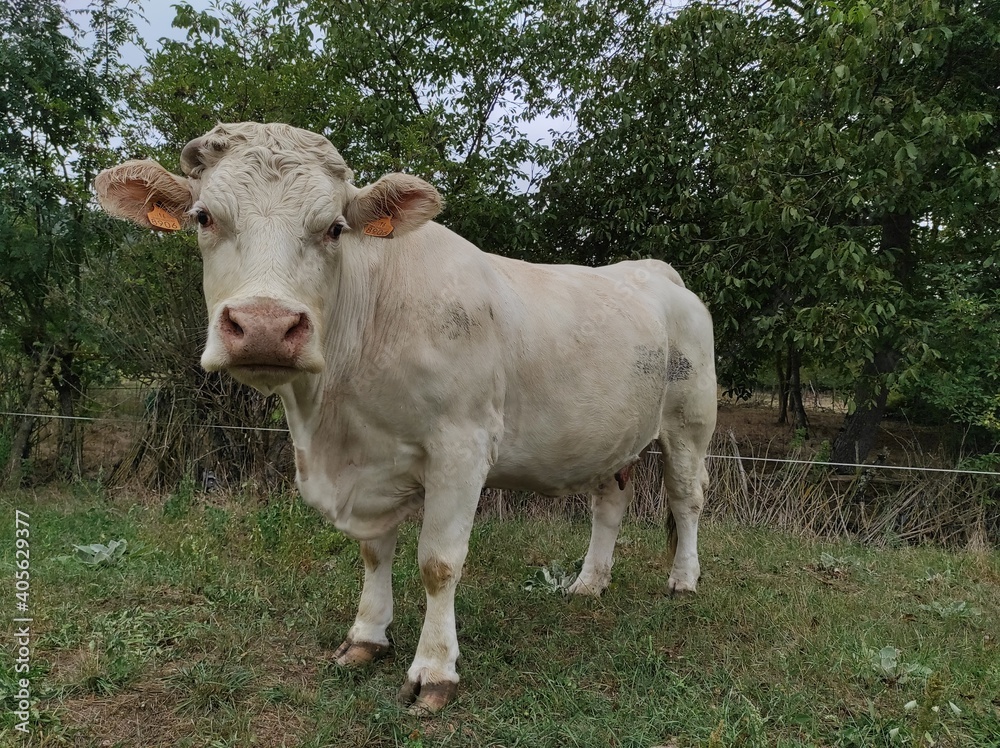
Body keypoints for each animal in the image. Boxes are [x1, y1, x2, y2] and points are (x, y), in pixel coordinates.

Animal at [94, 122, 717, 714]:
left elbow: (438, 563)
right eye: (203, 217)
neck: (332, 422)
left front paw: (434, 671)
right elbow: (374, 552)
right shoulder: (371, 466)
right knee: (609, 502)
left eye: (334, 228)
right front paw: (366, 638)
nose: (265, 325)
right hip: (612, 438)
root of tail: (657, 271)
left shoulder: (462, 448)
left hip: (690, 422)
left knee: (686, 499)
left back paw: (684, 580)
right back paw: (589, 583)